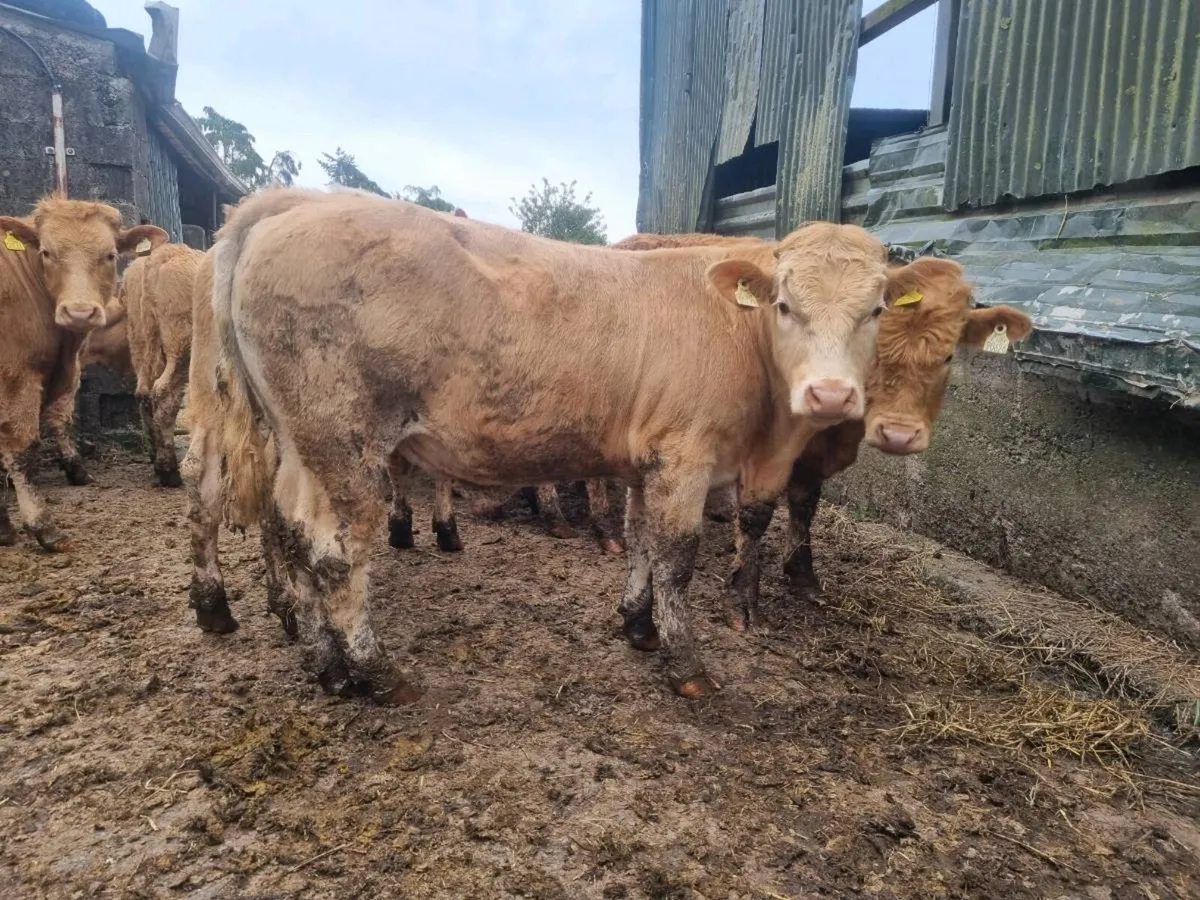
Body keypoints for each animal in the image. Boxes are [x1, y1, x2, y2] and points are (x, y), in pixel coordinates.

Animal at [0, 197, 167, 549]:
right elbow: (25, 446)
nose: (79, 312)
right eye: (46, 252)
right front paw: (42, 526)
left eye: (110, 255)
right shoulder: (18, 376)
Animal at [196, 187, 907, 704]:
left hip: (300, 444)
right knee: (334, 556)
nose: (831, 395)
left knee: (290, 532)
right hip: (345, 445)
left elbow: (641, 543)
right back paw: (375, 672)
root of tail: (291, 204)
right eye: (785, 304)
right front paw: (687, 664)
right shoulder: (686, 456)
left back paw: (327, 666)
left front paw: (637, 625)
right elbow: (677, 559)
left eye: (876, 310)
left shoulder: (646, 462)